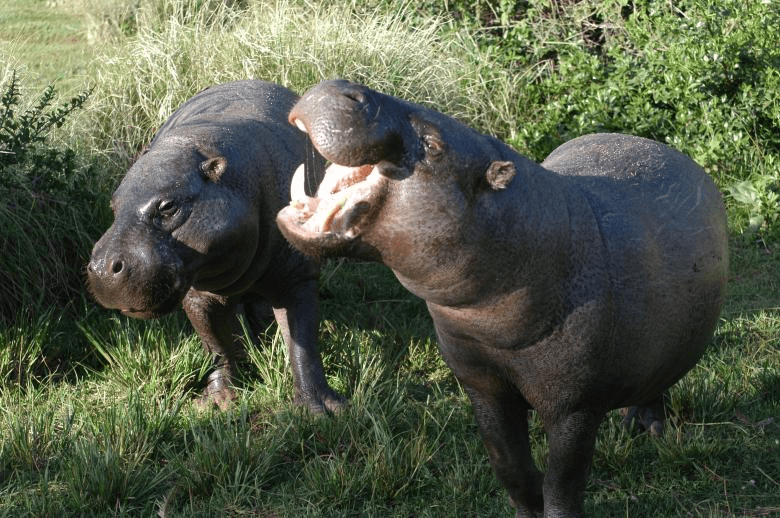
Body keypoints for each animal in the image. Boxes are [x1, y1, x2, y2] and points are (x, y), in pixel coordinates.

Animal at [88, 80, 344, 414]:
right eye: (113, 205)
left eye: (168, 206)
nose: (103, 268)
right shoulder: (198, 293)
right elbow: (217, 346)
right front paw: (217, 403)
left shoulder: (297, 277)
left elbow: (302, 345)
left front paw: (320, 410)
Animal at [276, 80, 728, 517]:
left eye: (434, 144)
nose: (343, 87)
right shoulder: (482, 383)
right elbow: (508, 465)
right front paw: (528, 505)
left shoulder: (574, 406)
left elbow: (563, 482)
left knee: (660, 379)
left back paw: (646, 428)